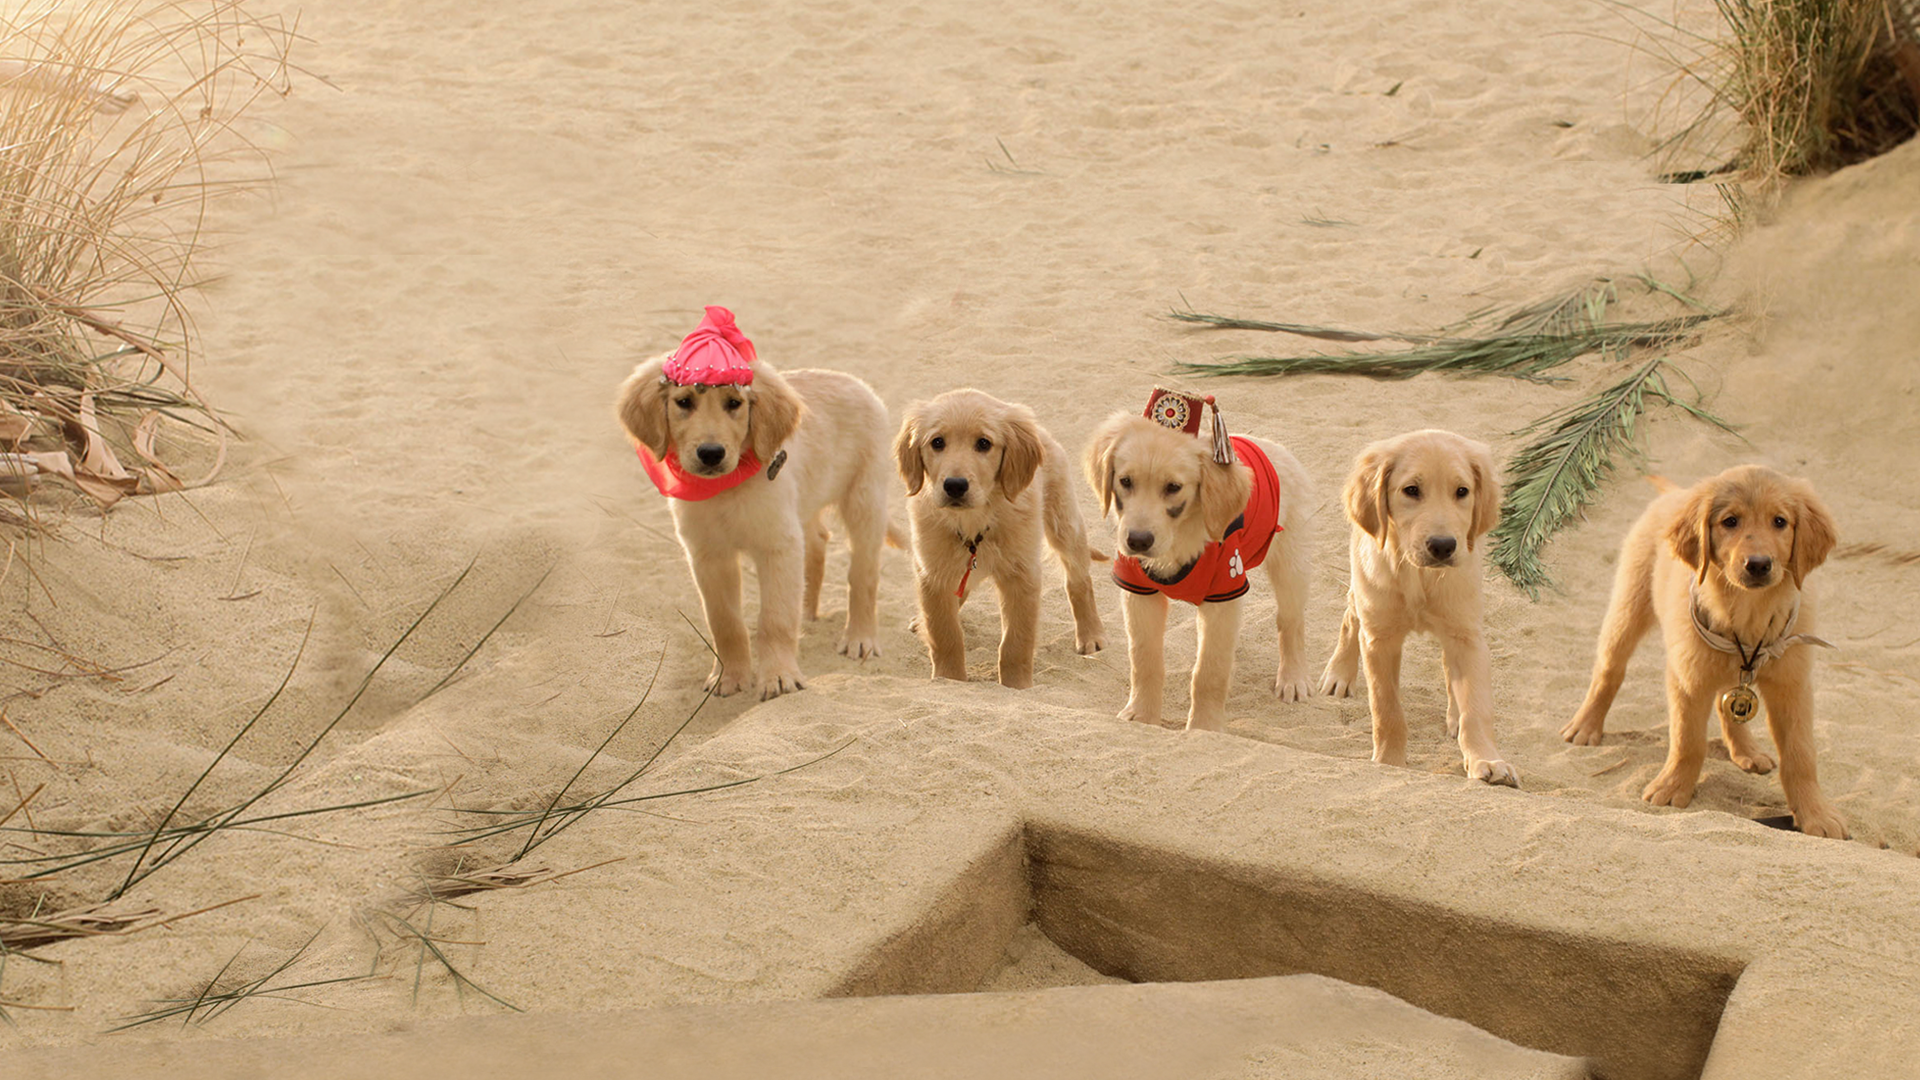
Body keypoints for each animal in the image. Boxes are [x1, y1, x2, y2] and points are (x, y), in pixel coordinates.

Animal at [614, 307, 890, 703]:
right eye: (684, 402)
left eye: (734, 404)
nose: (711, 453)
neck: (724, 491)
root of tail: (855, 382)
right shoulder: (708, 556)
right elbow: (724, 622)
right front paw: (729, 677)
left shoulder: (777, 545)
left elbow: (774, 618)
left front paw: (779, 677)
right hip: (804, 505)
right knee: (817, 543)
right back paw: (807, 614)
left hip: (865, 499)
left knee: (863, 573)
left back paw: (860, 638)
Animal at [898, 390, 1113, 684]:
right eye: (937, 442)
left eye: (984, 443)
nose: (955, 486)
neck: (975, 521)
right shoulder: (933, 573)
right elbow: (946, 634)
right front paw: (949, 679)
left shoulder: (1022, 574)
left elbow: (1015, 642)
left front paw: (1017, 686)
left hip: (1064, 524)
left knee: (1079, 580)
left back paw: (1091, 633)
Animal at [1082, 403, 1320, 730]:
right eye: (1126, 481)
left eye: (1173, 487)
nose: (1138, 541)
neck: (1179, 537)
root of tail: (1273, 447)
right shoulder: (1138, 591)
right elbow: (1144, 659)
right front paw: (1142, 716)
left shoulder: (1224, 591)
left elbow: (1209, 670)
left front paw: (1204, 728)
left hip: (1291, 561)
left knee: (1290, 621)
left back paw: (1293, 678)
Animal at [1320, 426, 1512, 780]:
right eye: (1411, 490)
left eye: (1462, 491)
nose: (1443, 546)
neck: (1418, 576)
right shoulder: (1380, 639)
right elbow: (1387, 709)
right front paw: (1389, 761)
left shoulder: (1468, 636)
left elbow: (1477, 708)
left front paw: (1486, 761)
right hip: (1363, 584)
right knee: (1351, 616)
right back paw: (1339, 672)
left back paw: (1454, 713)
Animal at [1559, 463, 1843, 834]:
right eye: (1730, 521)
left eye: (1780, 521)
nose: (1758, 564)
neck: (1747, 614)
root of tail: (1677, 494)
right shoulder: (1687, 676)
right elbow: (1687, 740)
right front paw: (1673, 788)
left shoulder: (1792, 684)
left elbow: (1800, 755)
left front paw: (1816, 814)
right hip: (1628, 606)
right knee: (1609, 670)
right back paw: (1586, 725)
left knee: (1730, 703)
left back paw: (1747, 750)